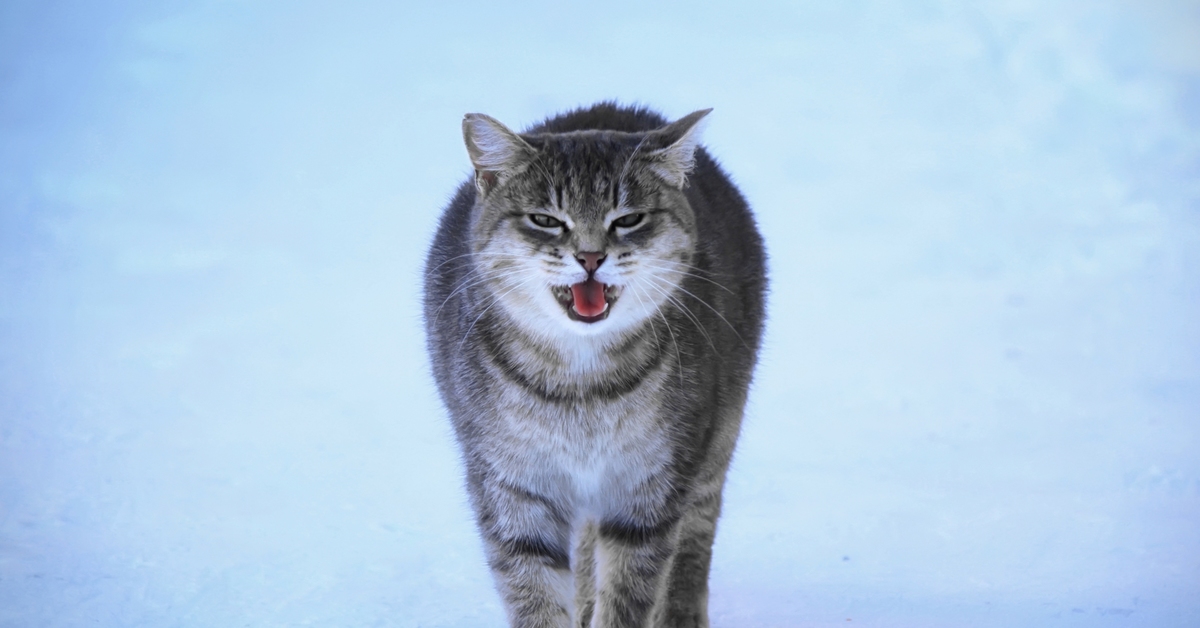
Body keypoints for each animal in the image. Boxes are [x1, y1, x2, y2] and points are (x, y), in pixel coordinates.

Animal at [427, 100, 768, 624]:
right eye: (546, 219)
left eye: (628, 219)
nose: (590, 257)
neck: (580, 384)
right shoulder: (511, 485)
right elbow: (535, 592)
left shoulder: (650, 485)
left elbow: (629, 593)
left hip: (715, 438)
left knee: (696, 533)